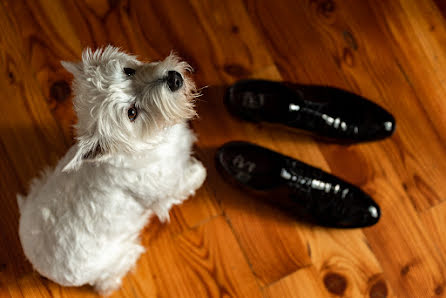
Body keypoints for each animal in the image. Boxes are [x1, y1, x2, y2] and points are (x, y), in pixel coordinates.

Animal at [16, 45, 206, 294]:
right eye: (132, 113)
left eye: (128, 71)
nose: (174, 79)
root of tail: (36, 265)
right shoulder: (165, 191)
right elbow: (190, 180)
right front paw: (198, 170)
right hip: (116, 261)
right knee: (109, 283)